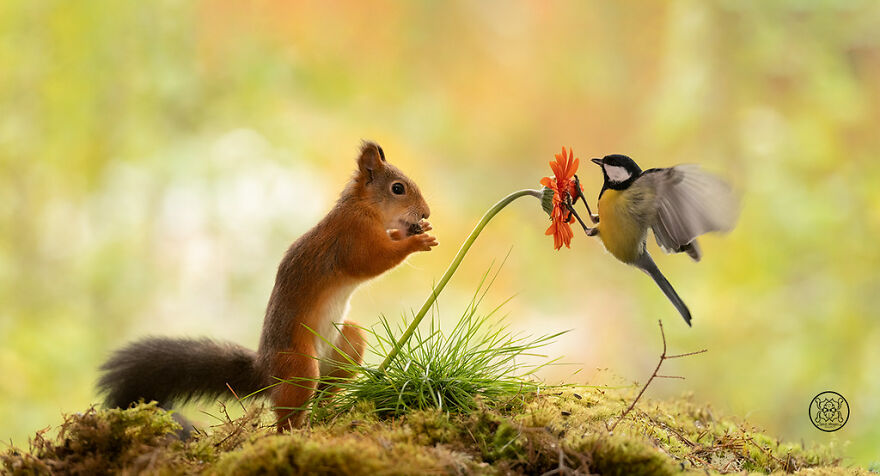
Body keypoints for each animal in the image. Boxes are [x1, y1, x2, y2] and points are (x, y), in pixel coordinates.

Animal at [98, 141, 437, 431]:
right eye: (397, 188)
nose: (426, 213)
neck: (363, 206)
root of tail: (267, 372)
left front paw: (414, 231)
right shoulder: (352, 236)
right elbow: (371, 261)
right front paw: (417, 242)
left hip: (348, 342)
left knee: (325, 390)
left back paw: (330, 412)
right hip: (299, 365)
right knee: (288, 412)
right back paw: (295, 432)